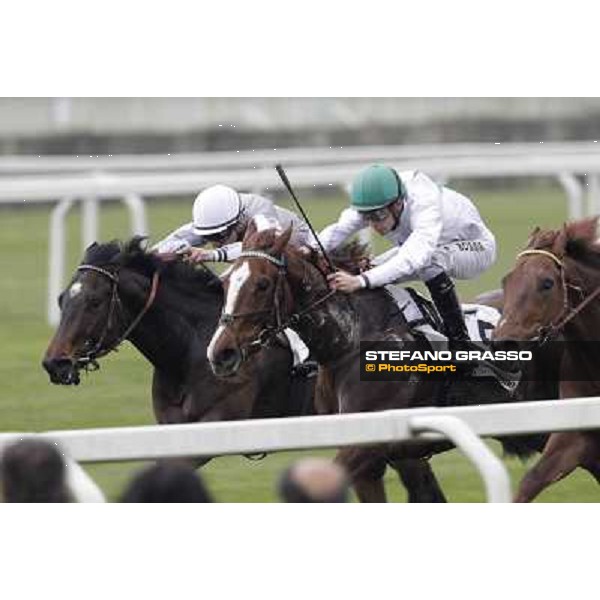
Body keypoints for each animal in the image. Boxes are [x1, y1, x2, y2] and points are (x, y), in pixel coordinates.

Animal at [209, 220, 536, 502]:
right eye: (224, 284)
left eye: (262, 284)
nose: (220, 353)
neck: (350, 341)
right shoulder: (373, 458)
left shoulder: (364, 445)